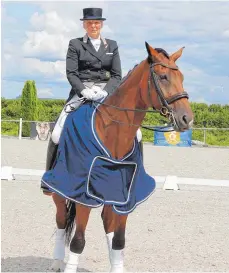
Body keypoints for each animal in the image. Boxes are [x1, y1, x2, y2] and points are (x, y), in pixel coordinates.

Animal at [43, 41, 192, 270]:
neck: (113, 132)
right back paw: (57, 262)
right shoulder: (83, 195)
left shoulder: (125, 196)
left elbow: (119, 240)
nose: (187, 119)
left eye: (182, 77)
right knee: (61, 221)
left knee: (108, 226)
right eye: (163, 77)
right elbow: (78, 242)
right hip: (58, 190)